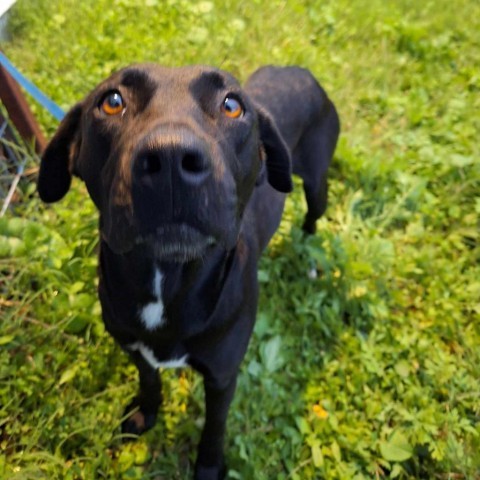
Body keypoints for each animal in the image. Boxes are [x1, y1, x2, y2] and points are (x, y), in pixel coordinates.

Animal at [37, 64, 340, 480]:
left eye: (232, 105)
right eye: (112, 101)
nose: (170, 158)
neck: (165, 279)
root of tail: (300, 70)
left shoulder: (222, 376)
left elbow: (215, 426)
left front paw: (209, 467)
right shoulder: (134, 347)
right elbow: (149, 381)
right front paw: (145, 414)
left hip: (317, 185)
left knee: (313, 217)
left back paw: (307, 255)